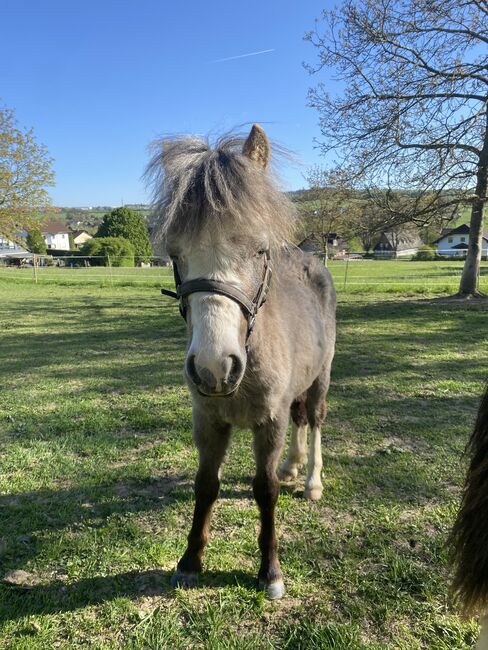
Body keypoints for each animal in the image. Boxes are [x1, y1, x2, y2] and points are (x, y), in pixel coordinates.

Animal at [145, 124, 336, 599]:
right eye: (175, 254)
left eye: (259, 250)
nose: (214, 367)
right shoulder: (208, 420)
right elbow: (205, 484)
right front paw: (190, 561)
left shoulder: (269, 422)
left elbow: (264, 489)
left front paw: (270, 571)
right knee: (301, 419)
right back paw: (293, 466)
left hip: (321, 377)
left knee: (315, 418)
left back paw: (311, 480)